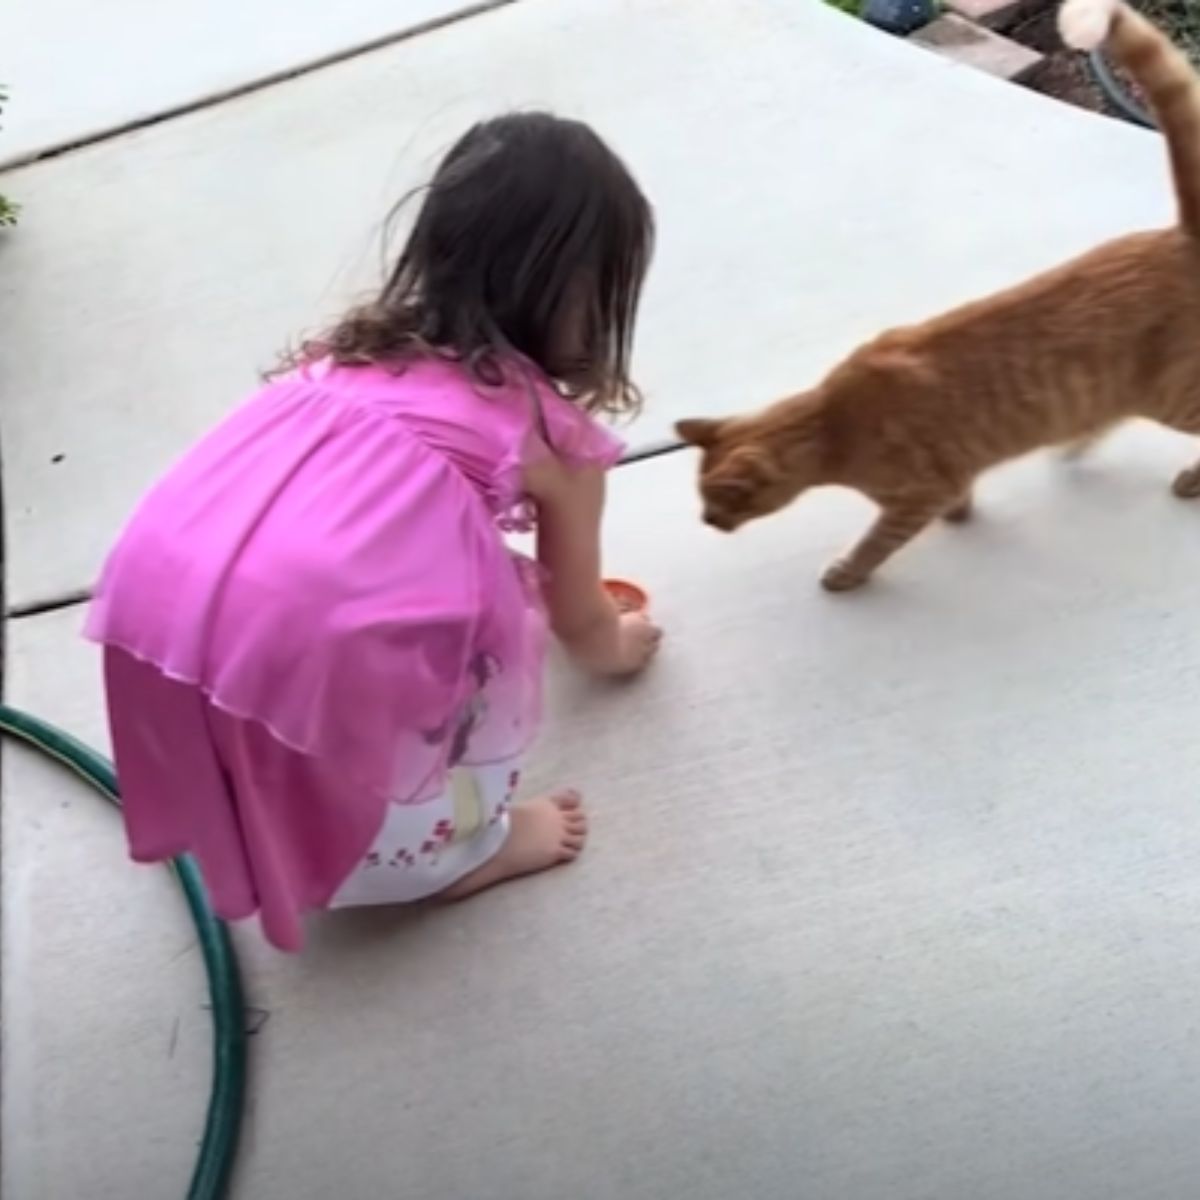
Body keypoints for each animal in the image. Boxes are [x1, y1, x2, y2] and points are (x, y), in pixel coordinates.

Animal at [681, 0, 1200, 592]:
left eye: (719, 505)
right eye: (702, 502)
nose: (706, 521)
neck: (833, 425)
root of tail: (1180, 235)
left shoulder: (914, 495)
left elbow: (876, 542)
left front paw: (846, 575)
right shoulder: (947, 474)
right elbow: (957, 495)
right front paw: (961, 512)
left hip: (1170, 395)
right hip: (1117, 390)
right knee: (1105, 417)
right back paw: (1073, 445)